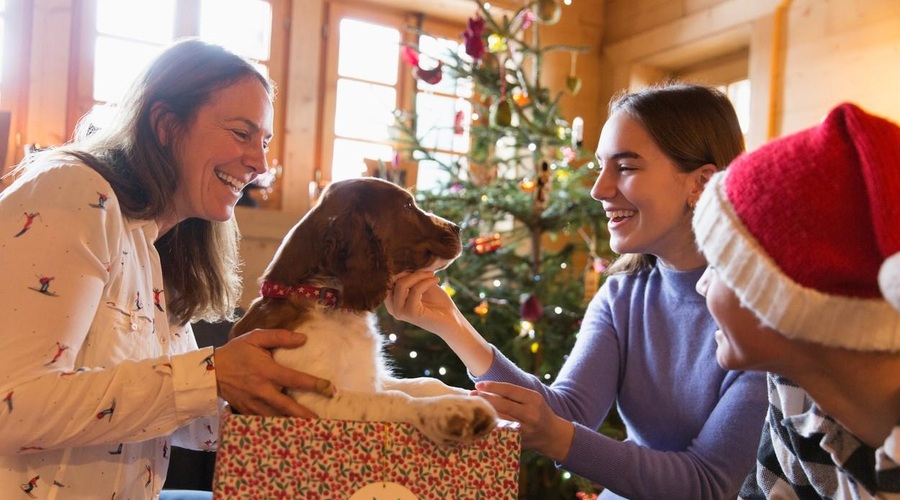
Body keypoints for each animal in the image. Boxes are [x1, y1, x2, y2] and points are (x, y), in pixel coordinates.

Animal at [229, 178, 496, 448]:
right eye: (408, 206)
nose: (458, 228)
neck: (323, 298)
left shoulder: (370, 378)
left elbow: (425, 381)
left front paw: (471, 395)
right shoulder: (306, 398)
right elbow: (395, 399)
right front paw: (453, 411)